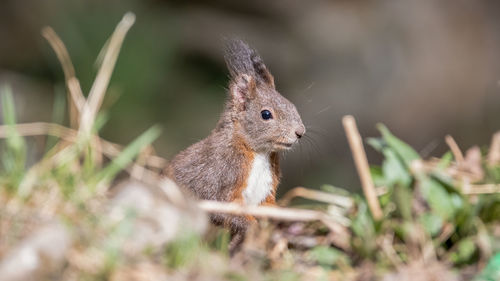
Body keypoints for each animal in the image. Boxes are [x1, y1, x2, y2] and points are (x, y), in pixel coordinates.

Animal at [164, 38, 304, 253]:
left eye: (292, 106)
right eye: (265, 114)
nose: (300, 132)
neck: (258, 153)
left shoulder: (265, 193)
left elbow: (269, 208)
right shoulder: (218, 178)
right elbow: (222, 210)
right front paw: (254, 230)